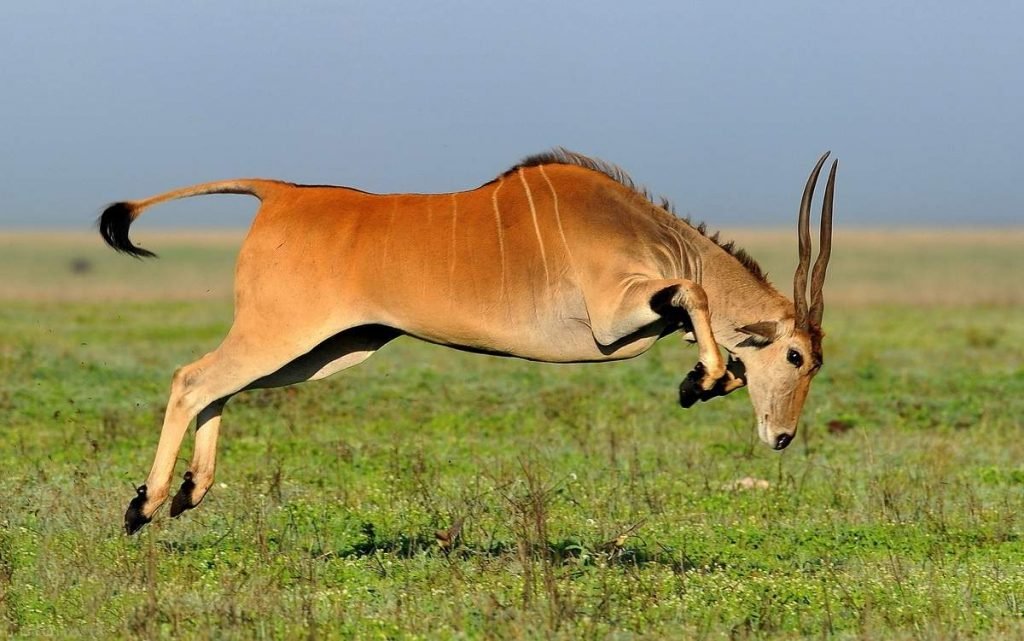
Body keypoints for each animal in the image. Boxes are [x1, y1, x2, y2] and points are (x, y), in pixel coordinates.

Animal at [101, 147, 839, 532]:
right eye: (796, 355)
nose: (781, 436)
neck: (644, 230)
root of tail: (279, 192)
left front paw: (701, 378)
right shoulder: (614, 318)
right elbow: (695, 294)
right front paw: (703, 379)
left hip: (325, 350)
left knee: (219, 387)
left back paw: (190, 491)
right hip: (284, 336)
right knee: (193, 379)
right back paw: (146, 503)